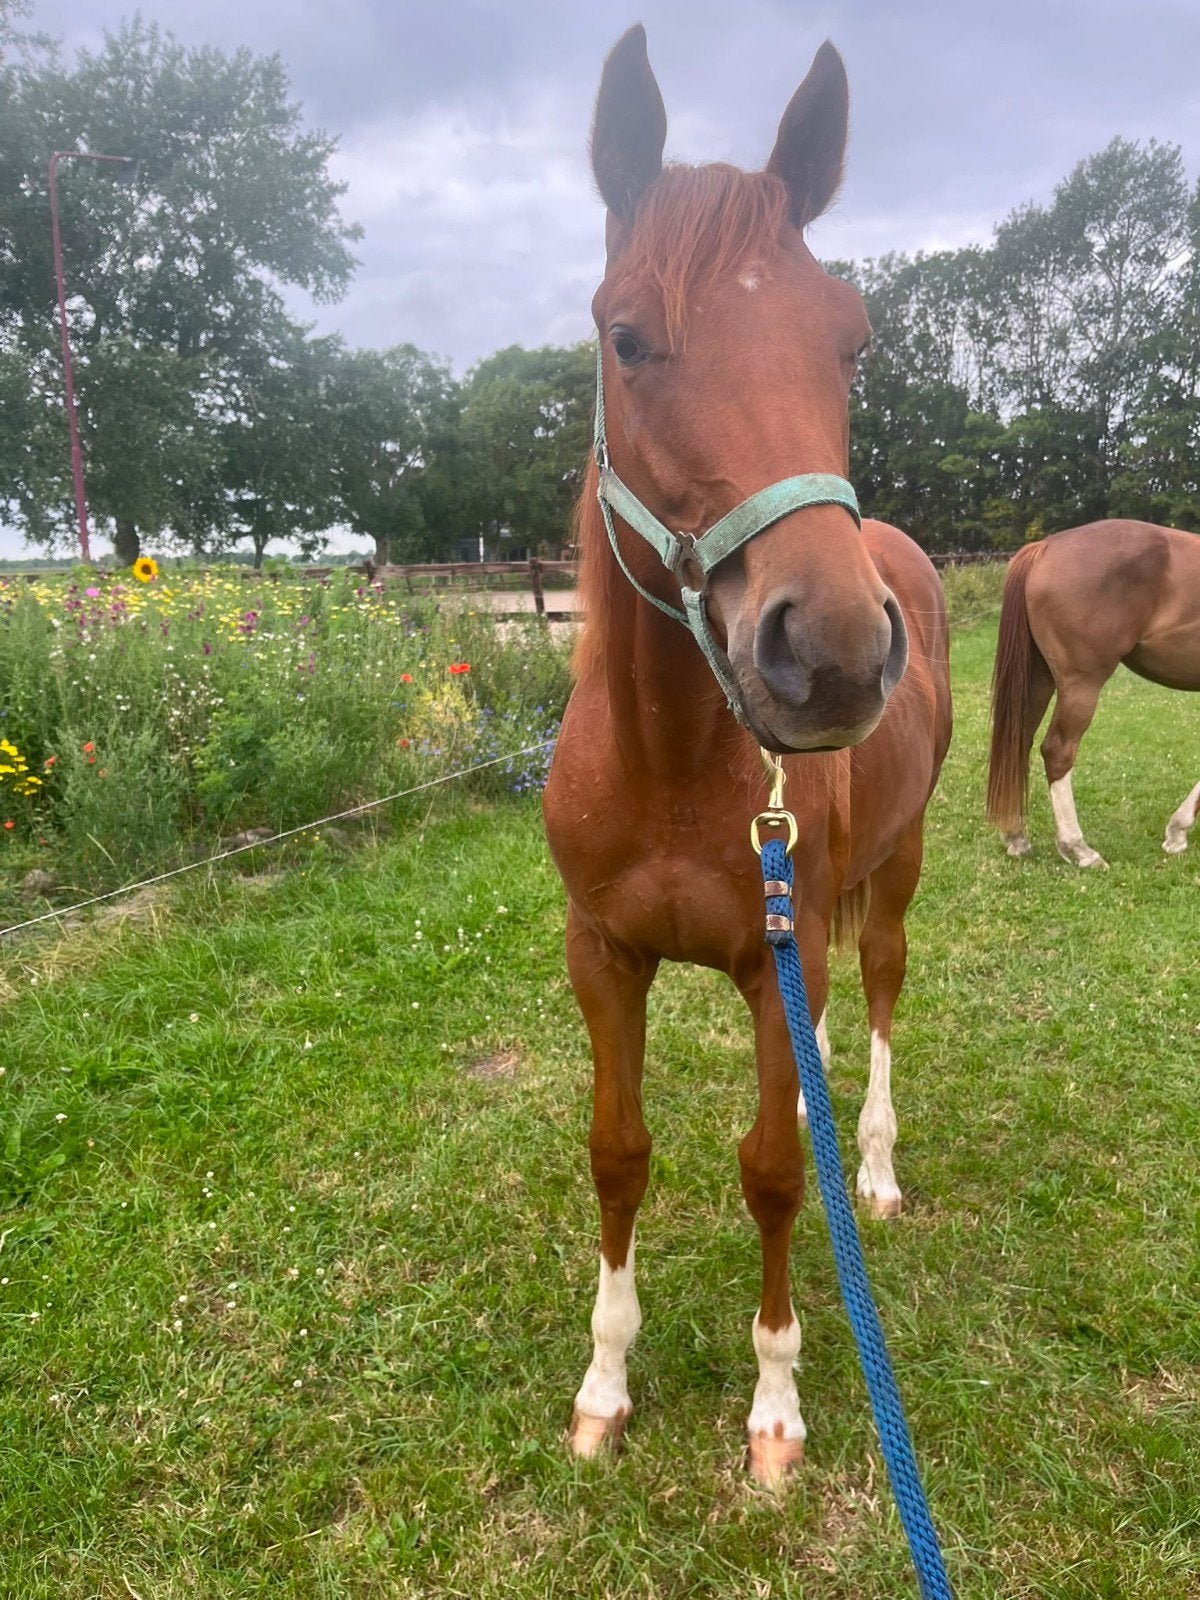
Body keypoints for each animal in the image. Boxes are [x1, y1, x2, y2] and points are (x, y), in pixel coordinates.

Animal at [541, 26, 952, 1485]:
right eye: (627, 334)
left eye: (853, 342)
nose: (831, 652)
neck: (669, 766)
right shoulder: (603, 956)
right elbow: (618, 1152)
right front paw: (604, 1382)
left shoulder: (783, 958)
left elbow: (772, 1168)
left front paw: (776, 1405)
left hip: (893, 871)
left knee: (877, 995)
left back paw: (872, 1165)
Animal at [986, 520, 1200, 867]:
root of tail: (1044, 547)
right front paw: (1178, 831)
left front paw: (1177, 832)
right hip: (1081, 686)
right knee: (1058, 751)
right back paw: (1078, 849)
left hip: (1038, 679)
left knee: (1019, 743)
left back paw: (1016, 837)